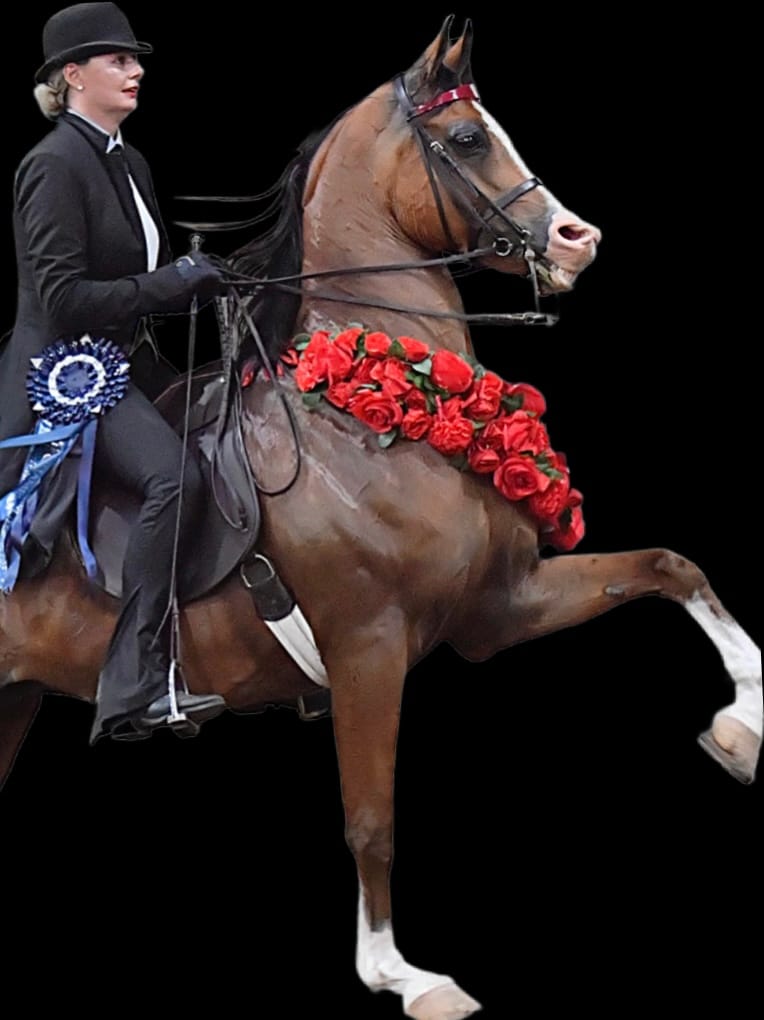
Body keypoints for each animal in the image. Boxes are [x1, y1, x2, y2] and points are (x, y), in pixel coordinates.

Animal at [1, 15, 760, 1020]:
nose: (576, 239)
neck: (369, 417)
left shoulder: (499, 607)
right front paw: (402, 975)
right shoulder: (367, 645)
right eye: (469, 138)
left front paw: (741, 730)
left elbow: (675, 566)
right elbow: (372, 818)